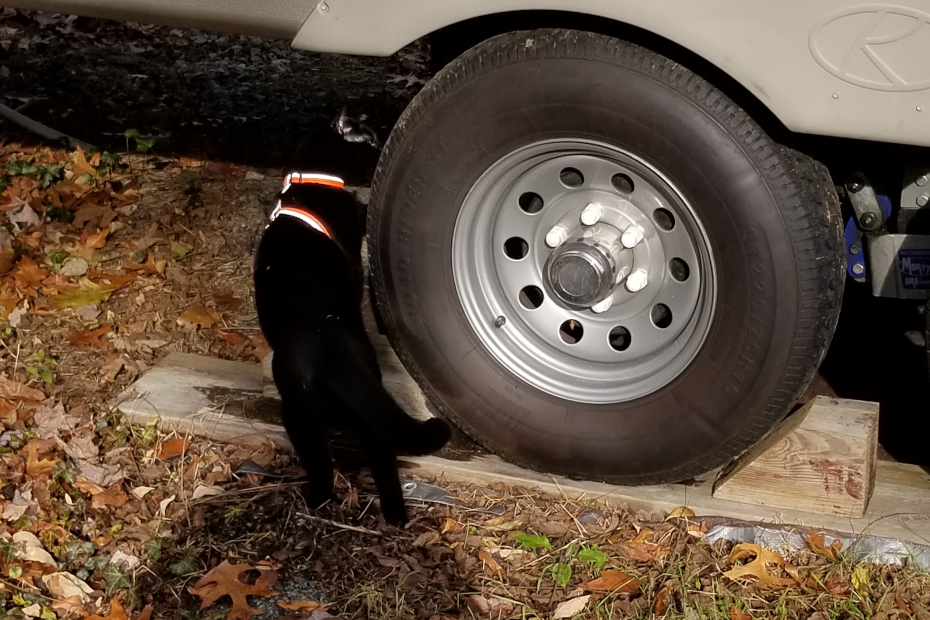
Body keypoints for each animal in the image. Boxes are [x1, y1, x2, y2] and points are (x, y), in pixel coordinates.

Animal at [254, 171, 450, 528]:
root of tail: (332, 354)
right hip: (357, 411)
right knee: (381, 457)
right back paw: (395, 518)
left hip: (298, 414)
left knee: (323, 467)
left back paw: (315, 503)